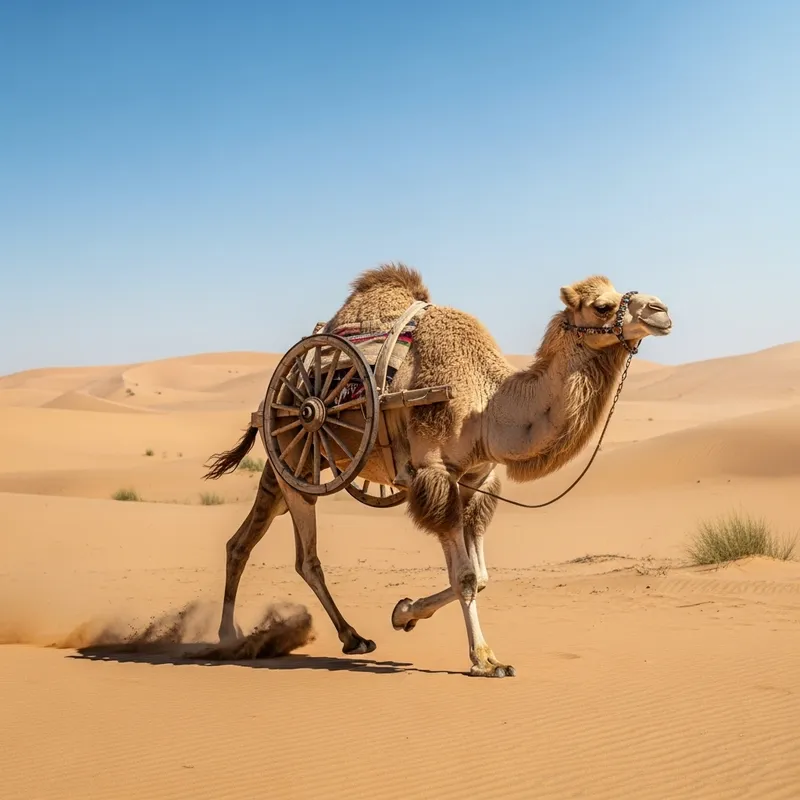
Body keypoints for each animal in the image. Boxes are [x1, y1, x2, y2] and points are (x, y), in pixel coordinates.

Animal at [203, 264, 672, 677]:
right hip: (300, 448)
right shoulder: (435, 473)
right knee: (307, 558)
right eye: (602, 306)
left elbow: (480, 576)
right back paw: (341, 638)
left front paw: (404, 613)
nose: (662, 311)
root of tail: (278, 394)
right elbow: (465, 576)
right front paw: (486, 660)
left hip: (291, 463)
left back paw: (232, 637)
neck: (487, 405)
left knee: (242, 540)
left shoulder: (476, 481)